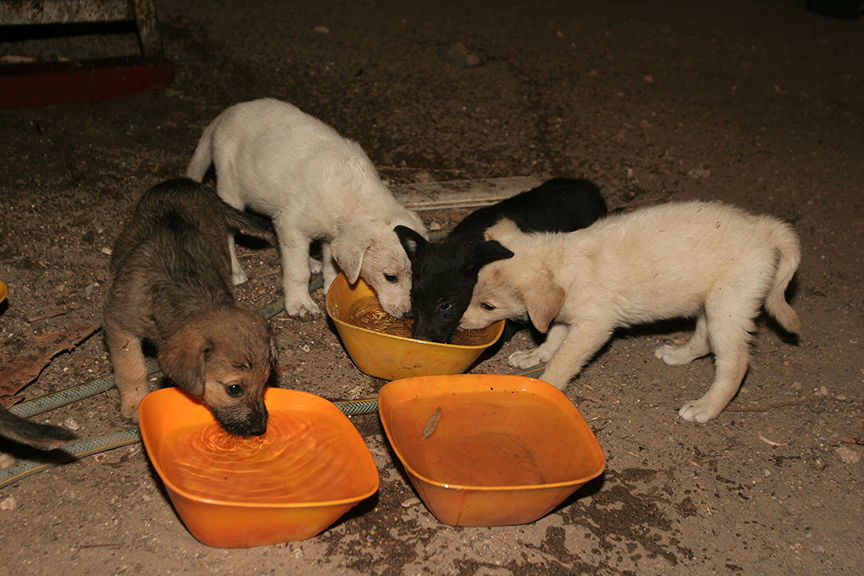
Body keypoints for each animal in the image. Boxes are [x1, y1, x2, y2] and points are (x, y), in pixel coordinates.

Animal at [104, 178, 276, 434]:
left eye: (265, 381)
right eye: (234, 389)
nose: (260, 429)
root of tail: (183, 181)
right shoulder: (118, 322)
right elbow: (131, 367)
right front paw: (135, 402)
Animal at [190, 97, 432, 318]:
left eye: (418, 276)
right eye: (390, 277)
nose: (410, 314)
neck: (356, 196)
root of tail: (228, 112)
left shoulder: (329, 235)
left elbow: (332, 263)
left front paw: (329, 286)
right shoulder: (291, 227)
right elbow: (298, 272)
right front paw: (300, 304)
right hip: (229, 186)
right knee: (228, 229)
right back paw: (236, 270)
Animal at [462, 202, 800, 424]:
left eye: (488, 306)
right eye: (473, 287)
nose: (461, 322)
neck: (563, 262)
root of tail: (764, 228)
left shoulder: (594, 326)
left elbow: (563, 360)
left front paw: (546, 385)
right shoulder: (566, 314)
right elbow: (554, 338)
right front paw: (533, 355)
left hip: (729, 305)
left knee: (735, 364)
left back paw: (705, 407)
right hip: (711, 301)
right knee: (704, 339)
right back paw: (678, 355)